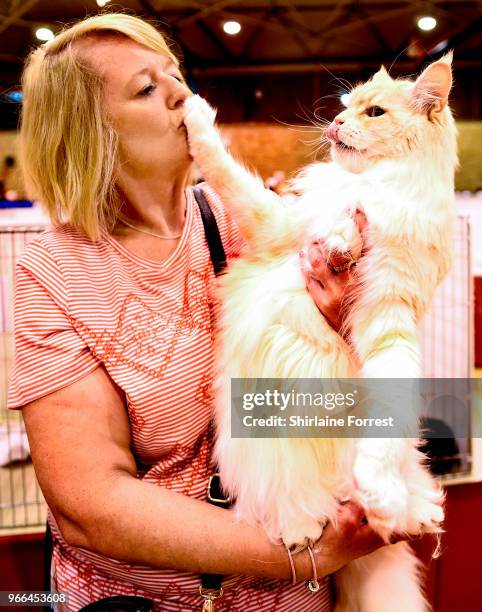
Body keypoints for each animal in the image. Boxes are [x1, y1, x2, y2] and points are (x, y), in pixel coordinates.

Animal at [184, 53, 456, 612]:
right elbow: (223, 167)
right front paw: (192, 109)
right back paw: (306, 524)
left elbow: (388, 413)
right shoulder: (279, 223)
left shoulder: (389, 313)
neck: (379, 187)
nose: (335, 123)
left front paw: (381, 491)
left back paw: (400, 509)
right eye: (345, 105)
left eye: (374, 112)